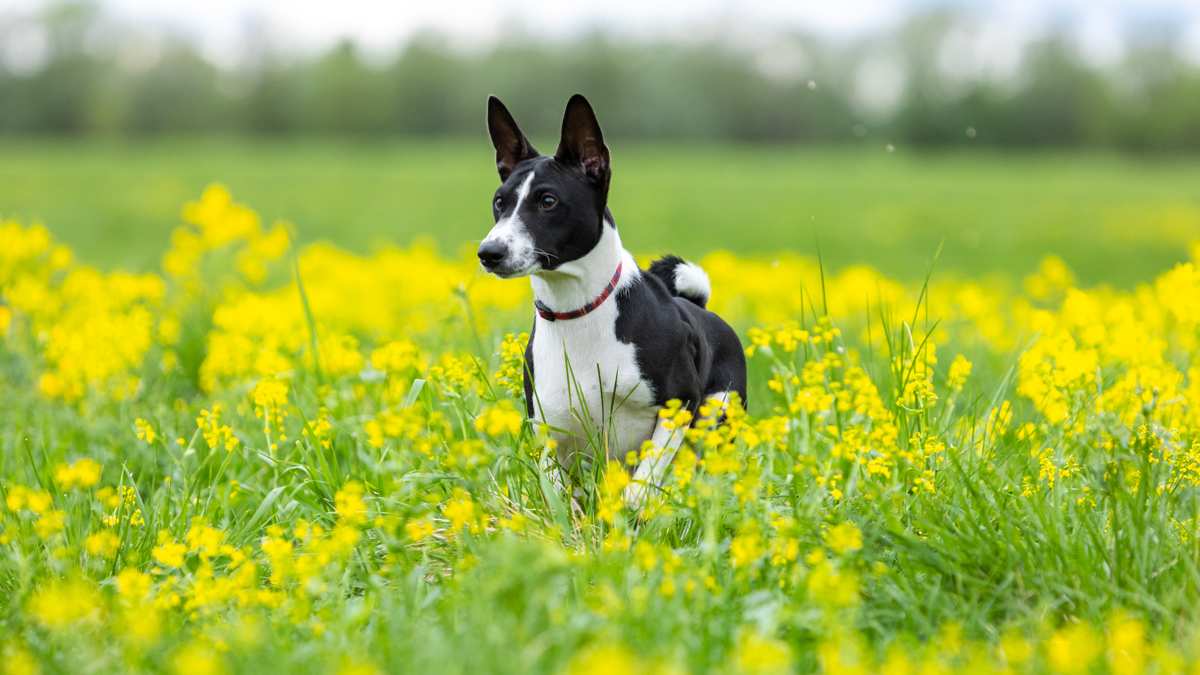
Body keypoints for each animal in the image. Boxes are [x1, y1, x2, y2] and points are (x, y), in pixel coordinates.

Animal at [475, 93, 739, 504]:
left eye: (547, 201)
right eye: (500, 202)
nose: (489, 252)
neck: (577, 312)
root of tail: (699, 307)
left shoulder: (679, 404)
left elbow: (640, 486)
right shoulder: (549, 427)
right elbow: (561, 500)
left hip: (717, 420)